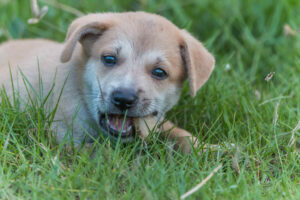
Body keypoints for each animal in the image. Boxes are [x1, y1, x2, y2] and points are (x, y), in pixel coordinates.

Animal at [0, 11, 216, 152]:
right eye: (109, 59)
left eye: (159, 72)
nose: (124, 99)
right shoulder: (62, 140)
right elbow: (103, 152)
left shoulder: (155, 122)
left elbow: (180, 134)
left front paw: (213, 150)